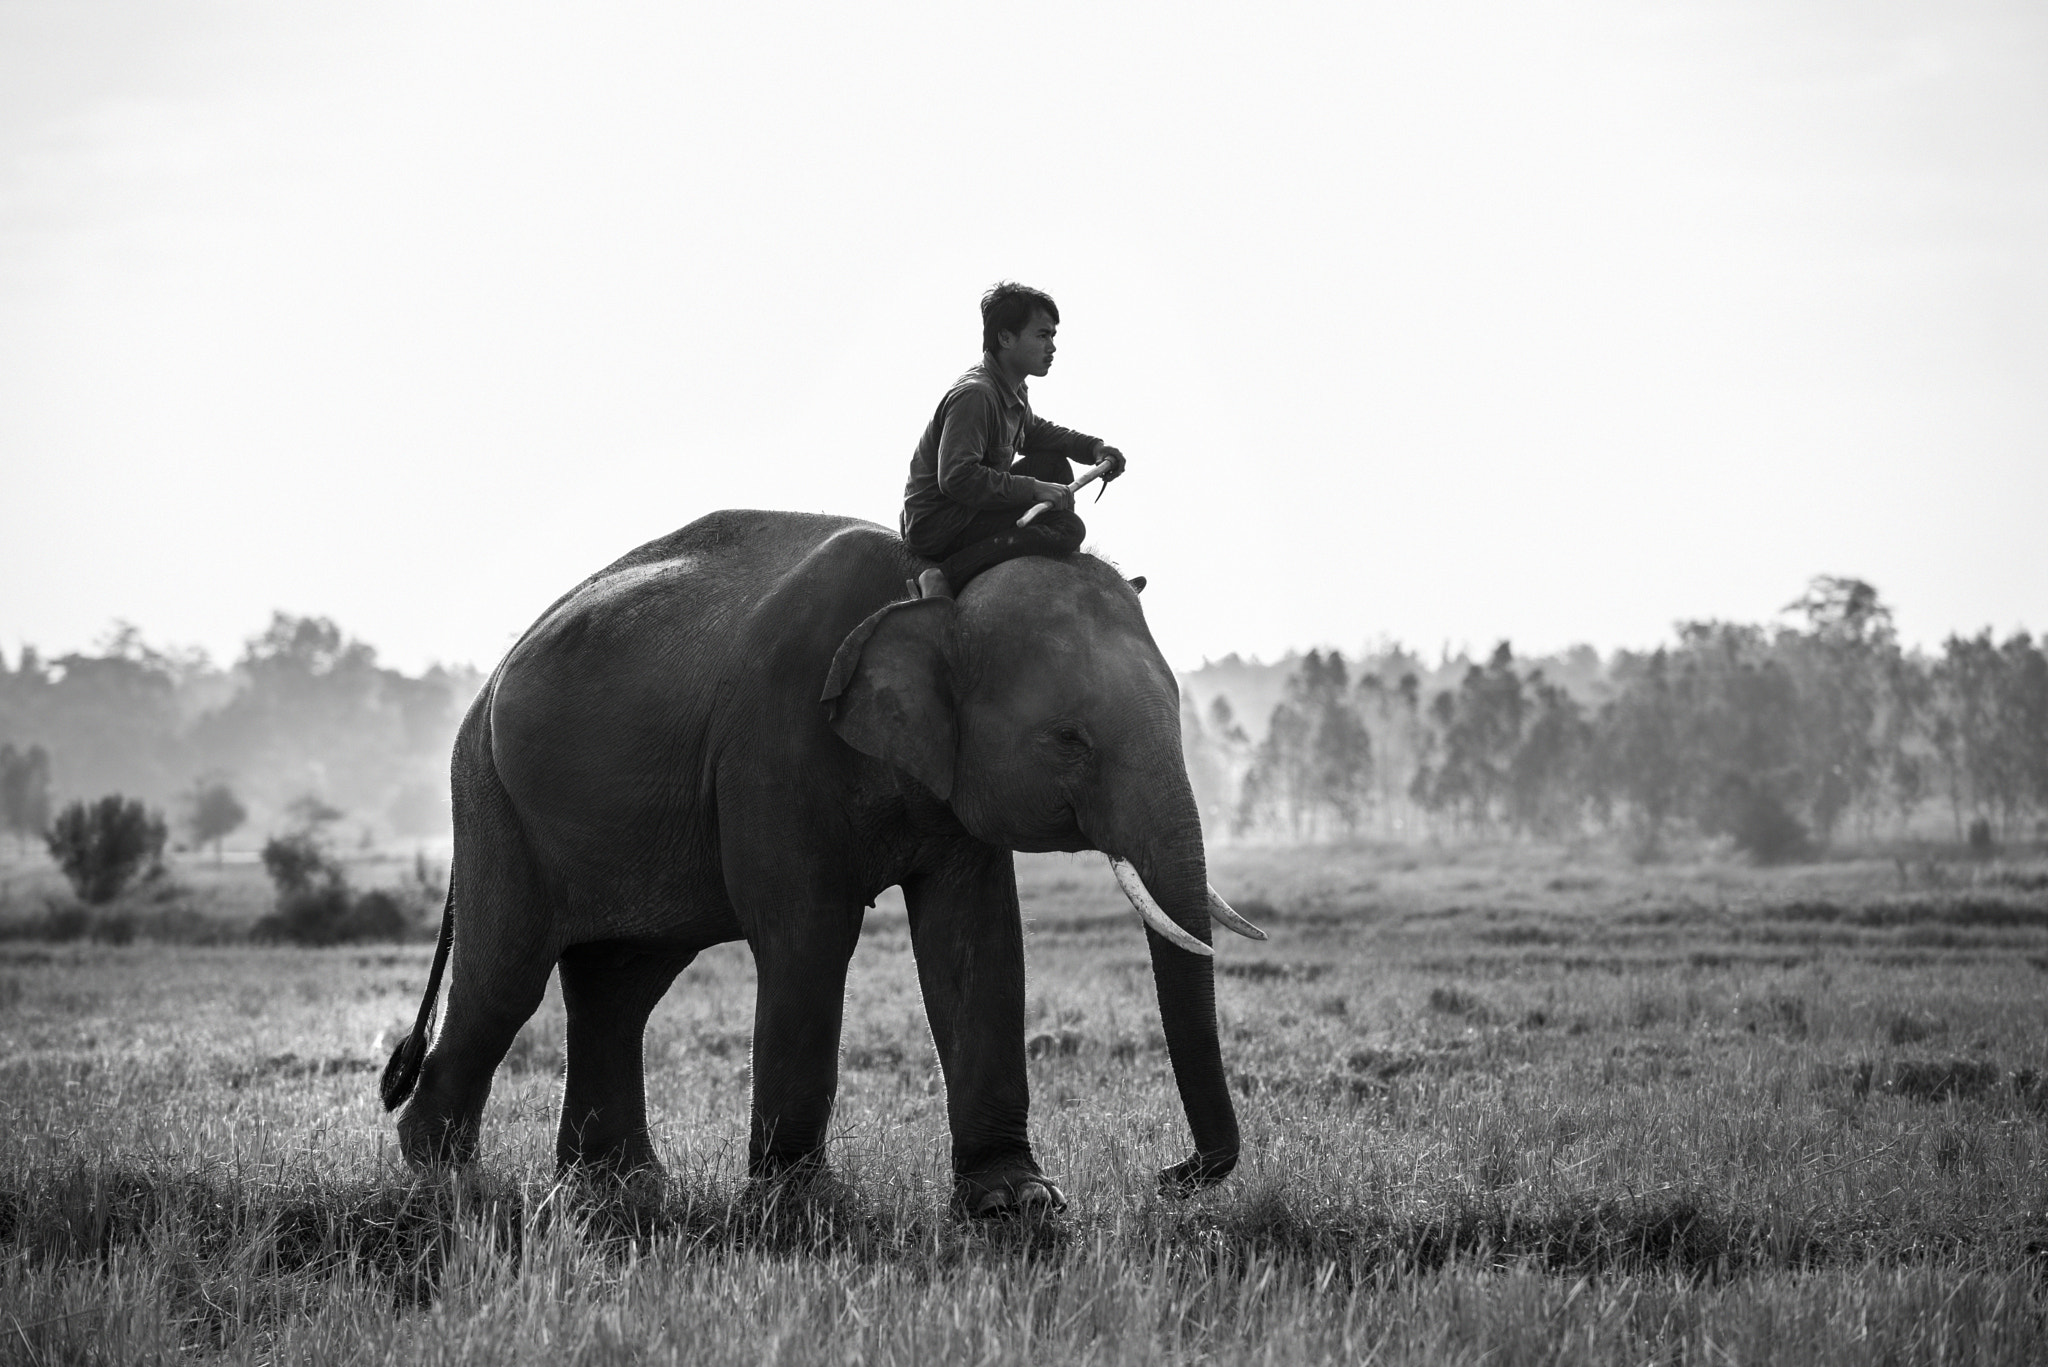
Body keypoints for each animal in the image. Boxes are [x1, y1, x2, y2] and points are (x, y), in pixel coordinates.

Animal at [379, 509, 1265, 1214]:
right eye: (1069, 738)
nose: (1171, 1173)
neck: (931, 589)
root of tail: (487, 681)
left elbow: (973, 939)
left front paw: (1018, 1202)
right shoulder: (773, 739)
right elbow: (808, 935)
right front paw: (802, 1205)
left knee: (620, 986)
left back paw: (620, 1190)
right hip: (490, 796)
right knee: (507, 978)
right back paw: (452, 1179)